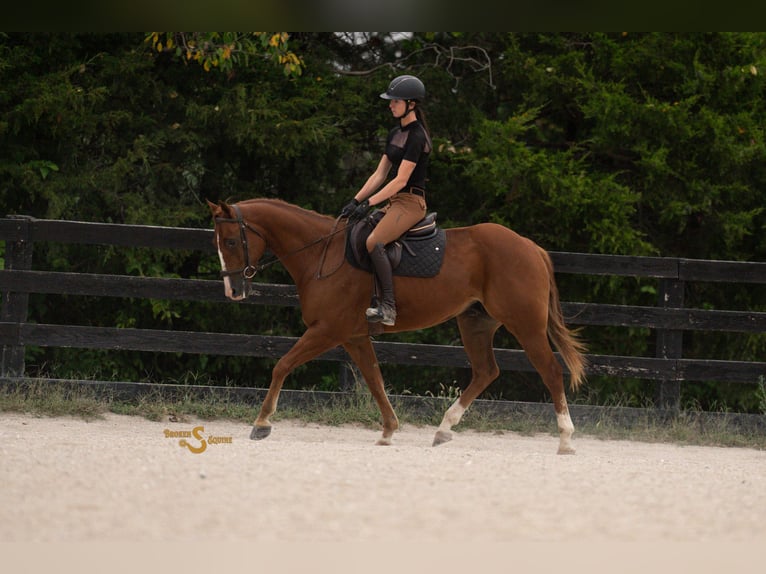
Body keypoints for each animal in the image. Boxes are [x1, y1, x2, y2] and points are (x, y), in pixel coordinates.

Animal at [208, 198, 587, 454]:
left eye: (231, 241)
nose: (232, 291)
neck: (322, 254)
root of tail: (531, 247)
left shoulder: (327, 330)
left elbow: (282, 365)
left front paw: (261, 423)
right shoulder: (354, 337)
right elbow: (375, 380)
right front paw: (389, 430)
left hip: (526, 324)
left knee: (550, 371)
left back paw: (566, 438)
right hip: (476, 323)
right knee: (486, 371)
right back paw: (444, 429)